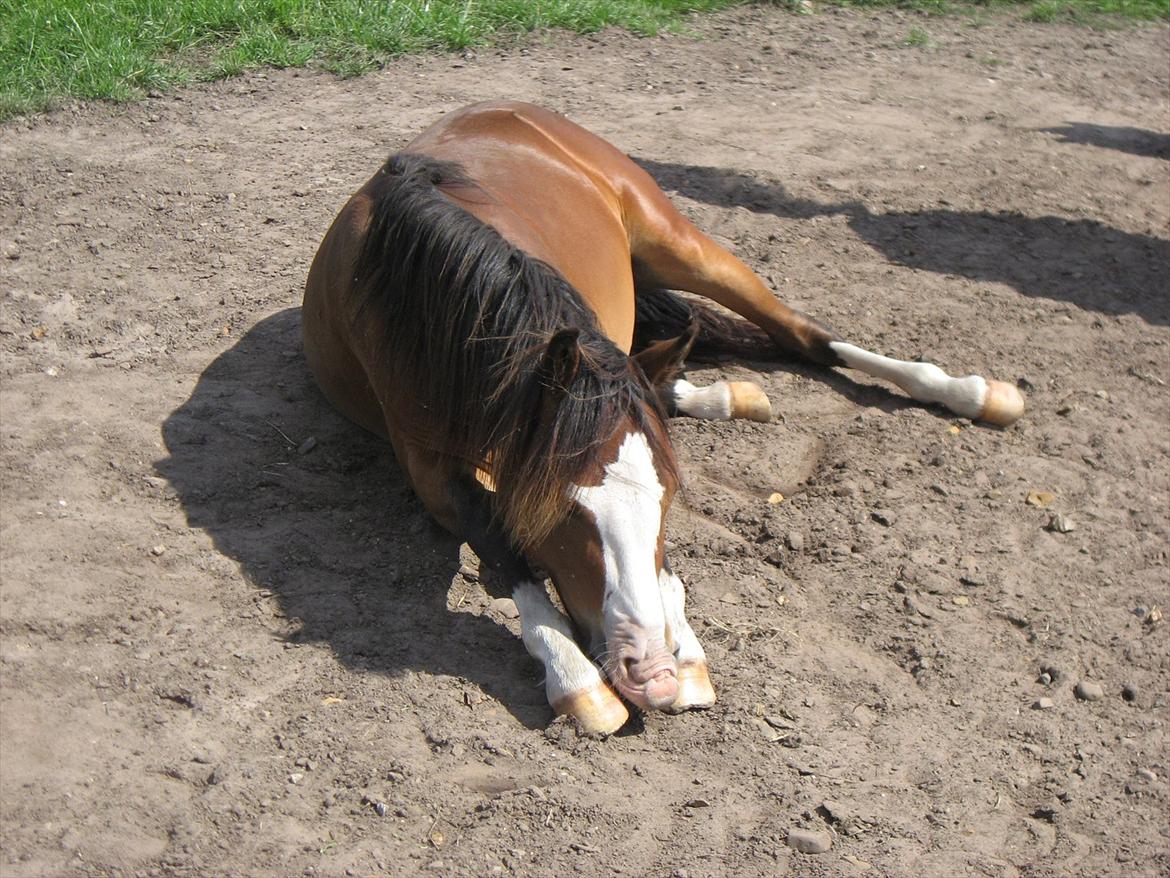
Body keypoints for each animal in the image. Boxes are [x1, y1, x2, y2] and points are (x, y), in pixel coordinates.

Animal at [304, 101, 1024, 735]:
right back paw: (730, 395)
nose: (648, 674)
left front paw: (683, 647)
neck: (430, 293)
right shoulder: (433, 472)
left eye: (672, 498)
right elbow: (505, 549)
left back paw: (971, 393)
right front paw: (576, 676)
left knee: (801, 335)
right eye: (561, 510)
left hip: (679, 244)